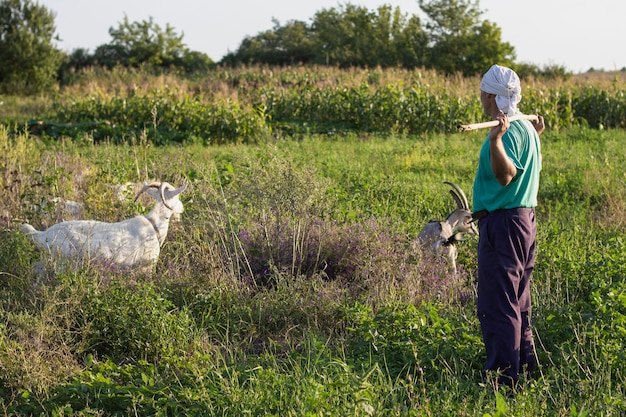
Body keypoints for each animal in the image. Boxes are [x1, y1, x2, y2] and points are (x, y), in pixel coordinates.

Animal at [19, 181, 188, 272]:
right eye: (178, 196)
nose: (182, 209)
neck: (154, 226)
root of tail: (41, 235)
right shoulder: (146, 267)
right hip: (64, 262)